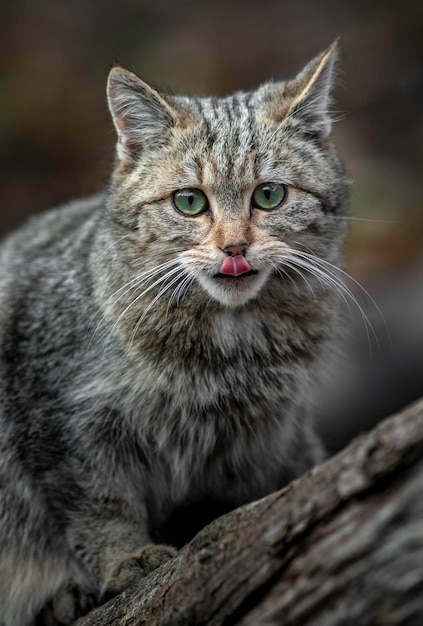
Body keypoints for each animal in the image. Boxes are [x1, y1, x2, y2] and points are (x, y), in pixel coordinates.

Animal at [0, 41, 348, 620]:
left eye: (269, 196)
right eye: (189, 202)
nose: (235, 246)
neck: (226, 350)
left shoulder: (271, 437)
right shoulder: (62, 425)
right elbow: (99, 503)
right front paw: (124, 559)